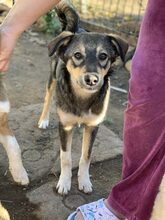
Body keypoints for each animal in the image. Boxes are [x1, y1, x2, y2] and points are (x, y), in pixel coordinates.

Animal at [38, 1, 128, 194]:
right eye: (77, 55)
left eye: (103, 56)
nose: (92, 79)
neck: (82, 97)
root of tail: (76, 28)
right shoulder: (64, 126)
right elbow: (65, 158)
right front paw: (64, 183)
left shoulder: (93, 126)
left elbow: (86, 156)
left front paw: (84, 181)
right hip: (52, 78)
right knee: (48, 99)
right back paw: (43, 120)